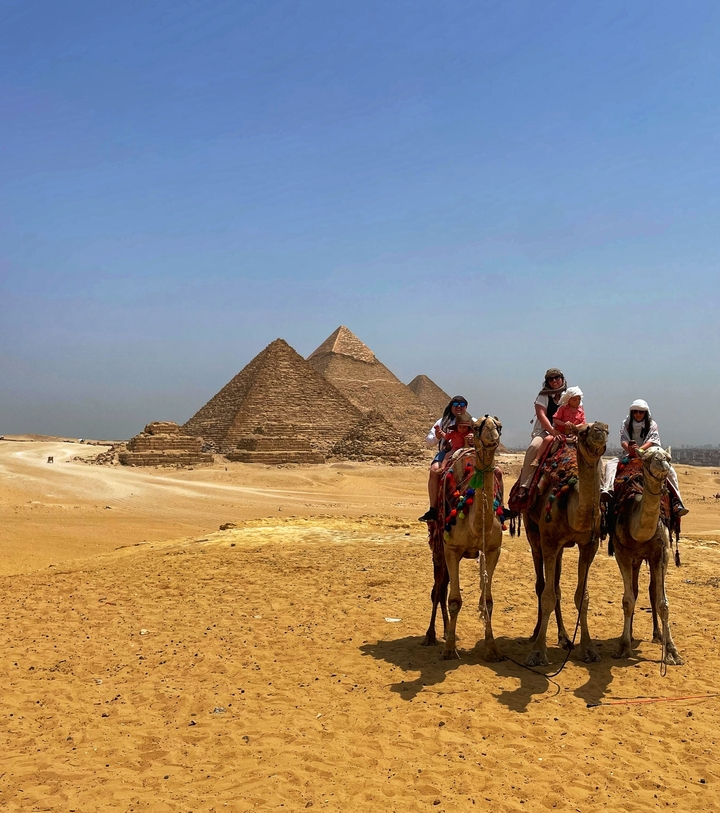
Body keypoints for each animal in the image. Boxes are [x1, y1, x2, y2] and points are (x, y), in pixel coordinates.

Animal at [432, 415, 504, 661]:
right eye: (476, 425)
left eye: (499, 425)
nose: (492, 433)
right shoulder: (452, 549)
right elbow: (454, 601)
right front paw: (448, 650)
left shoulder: (492, 550)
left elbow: (488, 602)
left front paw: (492, 648)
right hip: (438, 546)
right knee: (438, 588)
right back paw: (432, 636)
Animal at [523, 421, 609, 667]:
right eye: (584, 431)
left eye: (607, 428)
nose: (600, 429)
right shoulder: (549, 541)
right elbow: (547, 596)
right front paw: (537, 653)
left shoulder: (589, 545)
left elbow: (582, 597)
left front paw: (588, 649)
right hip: (533, 532)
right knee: (541, 584)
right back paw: (535, 634)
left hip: (560, 548)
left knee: (557, 586)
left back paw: (563, 637)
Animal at [610, 446, 683, 665]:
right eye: (648, 457)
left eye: (668, 457)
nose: (663, 463)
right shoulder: (622, 553)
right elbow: (627, 600)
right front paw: (623, 647)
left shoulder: (662, 553)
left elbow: (663, 603)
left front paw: (672, 652)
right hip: (635, 559)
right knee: (634, 591)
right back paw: (631, 633)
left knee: (651, 591)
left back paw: (658, 635)